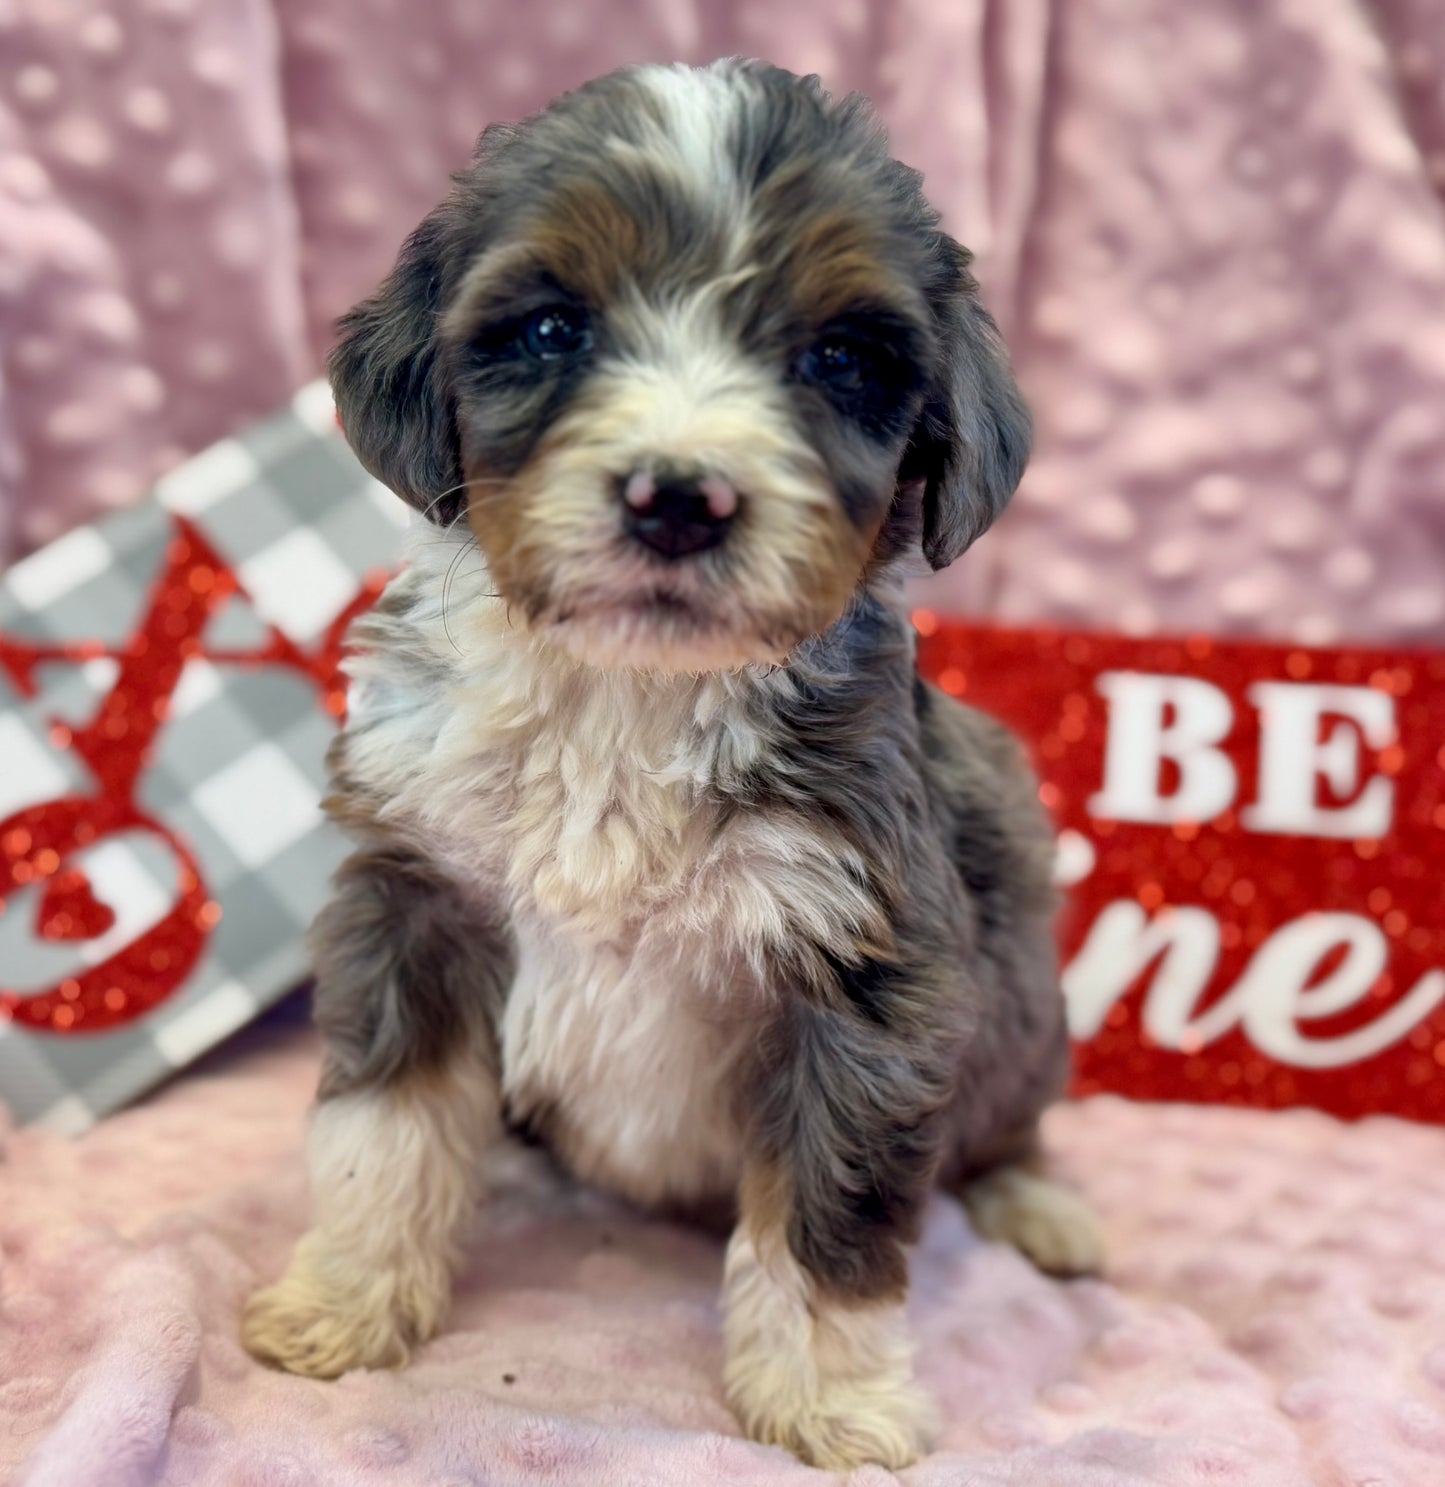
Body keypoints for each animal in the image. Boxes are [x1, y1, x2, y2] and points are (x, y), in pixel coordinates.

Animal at [248, 60, 1100, 1475]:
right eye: (551, 329)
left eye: (839, 358)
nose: (677, 498)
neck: (628, 697)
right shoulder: (413, 894)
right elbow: (385, 1129)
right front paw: (344, 1299)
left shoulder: (870, 975)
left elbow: (827, 1211)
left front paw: (826, 1399)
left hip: (1021, 981)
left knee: (1010, 1112)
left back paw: (1044, 1205)